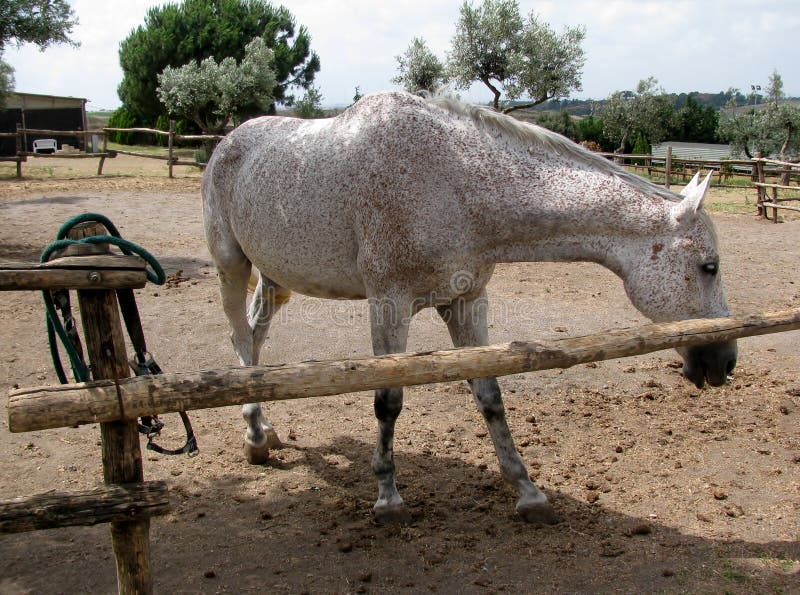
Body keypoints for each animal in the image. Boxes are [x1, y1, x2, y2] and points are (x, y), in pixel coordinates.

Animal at [201, 91, 737, 525]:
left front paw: (527, 492)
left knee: (256, 340)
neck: (455, 181)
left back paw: (264, 428)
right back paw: (254, 437)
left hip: (275, 278)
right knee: (238, 337)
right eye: (709, 266)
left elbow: (490, 395)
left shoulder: (466, 302)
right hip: (231, 265)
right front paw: (388, 499)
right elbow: (388, 401)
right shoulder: (389, 304)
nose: (725, 362)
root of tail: (227, 143)